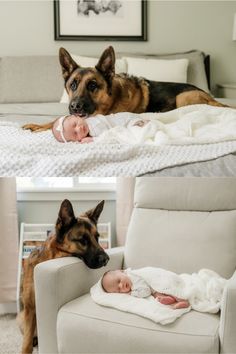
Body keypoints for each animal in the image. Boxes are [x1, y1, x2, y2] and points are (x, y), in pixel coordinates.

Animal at [18, 199, 109, 354]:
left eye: (97, 238)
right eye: (83, 240)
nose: (107, 259)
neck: (51, 257)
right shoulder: (30, 308)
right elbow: (26, 343)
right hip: (21, 318)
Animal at [23, 46, 227, 134]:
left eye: (92, 85)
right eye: (73, 84)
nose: (75, 107)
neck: (110, 100)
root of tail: (211, 97)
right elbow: (58, 119)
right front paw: (39, 125)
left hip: (183, 98)